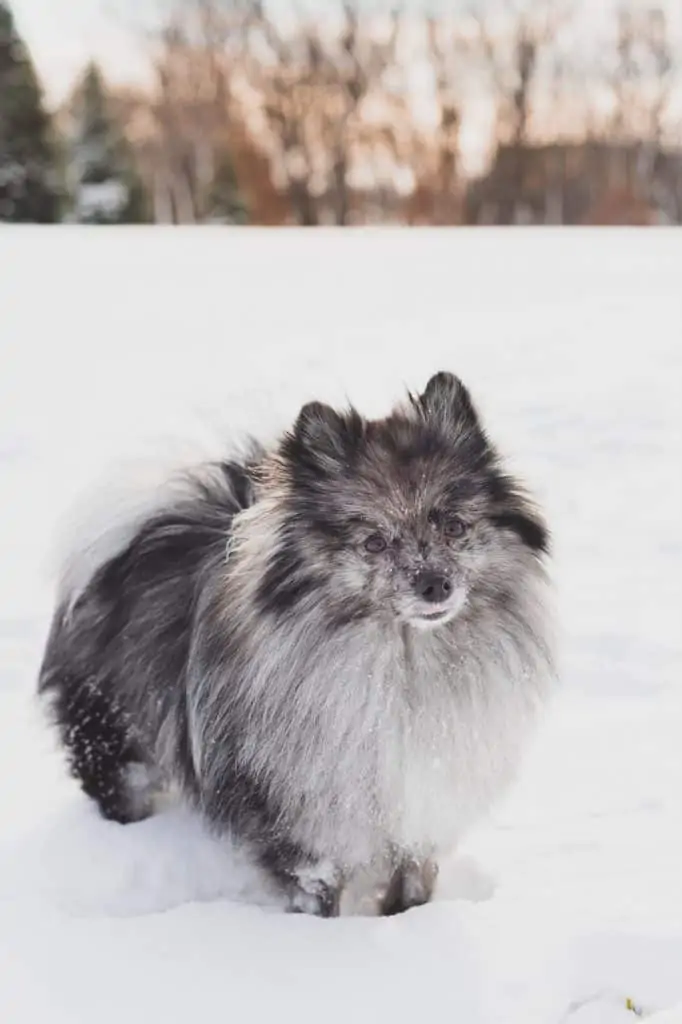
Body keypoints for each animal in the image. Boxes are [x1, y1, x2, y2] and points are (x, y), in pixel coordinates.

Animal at [39, 372, 552, 917]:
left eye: (453, 525)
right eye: (374, 542)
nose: (435, 585)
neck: (407, 666)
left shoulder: (419, 817)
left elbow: (411, 885)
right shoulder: (305, 835)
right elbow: (317, 895)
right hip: (114, 738)